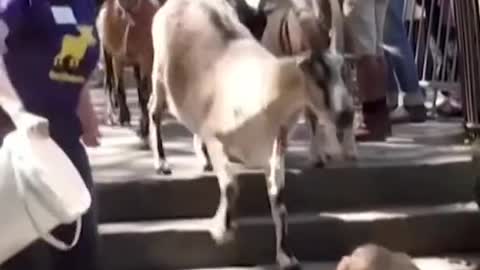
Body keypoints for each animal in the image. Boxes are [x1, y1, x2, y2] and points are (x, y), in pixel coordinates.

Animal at [96, 0, 172, 174]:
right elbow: (119, 87)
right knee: (109, 82)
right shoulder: (117, 56)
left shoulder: (146, 59)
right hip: (108, 53)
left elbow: (144, 94)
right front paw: (124, 117)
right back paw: (113, 115)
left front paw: (143, 130)